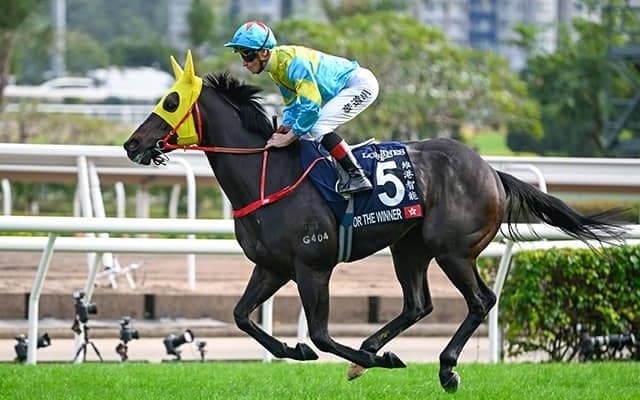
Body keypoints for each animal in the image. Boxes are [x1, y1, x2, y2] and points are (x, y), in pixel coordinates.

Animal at [123, 52, 624, 392]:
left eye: (171, 101)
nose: (132, 145)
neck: (268, 176)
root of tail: (490, 170)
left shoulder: (312, 266)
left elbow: (322, 334)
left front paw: (366, 357)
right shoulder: (272, 266)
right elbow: (242, 317)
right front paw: (293, 349)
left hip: (452, 250)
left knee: (481, 300)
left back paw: (442, 366)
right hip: (409, 247)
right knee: (418, 305)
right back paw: (367, 353)